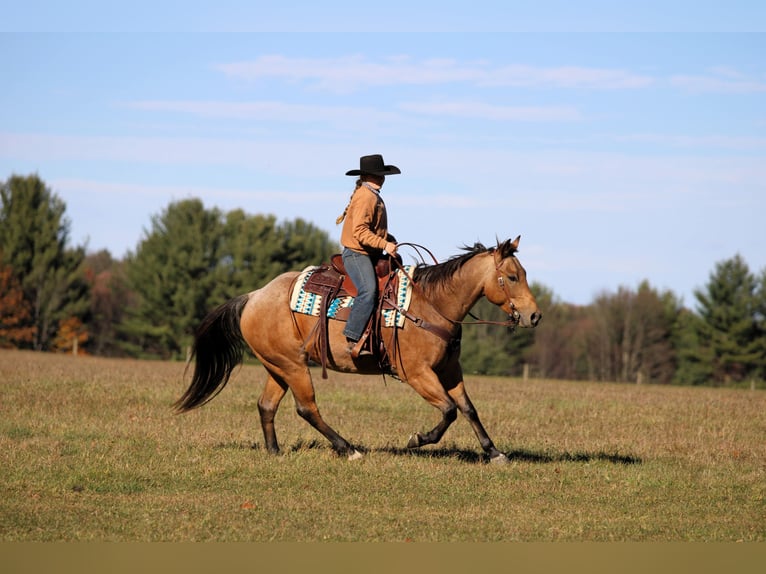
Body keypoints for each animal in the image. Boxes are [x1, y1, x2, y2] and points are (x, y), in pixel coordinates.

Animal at [175, 236, 541, 463]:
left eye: (523, 273)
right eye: (511, 276)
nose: (534, 315)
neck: (432, 303)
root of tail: (253, 296)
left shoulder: (450, 370)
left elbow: (468, 409)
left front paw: (494, 452)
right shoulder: (417, 373)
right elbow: (450, 410)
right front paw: (417, 439)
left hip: (277, 366)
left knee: (267, 405)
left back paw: (275, 452)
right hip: (294, 366)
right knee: (307, 408)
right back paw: (347, 449)